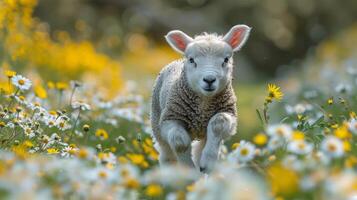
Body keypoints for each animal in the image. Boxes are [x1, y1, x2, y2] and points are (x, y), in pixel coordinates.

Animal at [150, 24, 250, 172]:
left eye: (226, 60)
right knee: (167, 154)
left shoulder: (229, 114)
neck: (203, 104)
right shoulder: (169, 119)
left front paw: (207, 163)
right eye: (192, 60)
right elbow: (179, 141)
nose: (209, 80)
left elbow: (218, 124)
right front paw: (189, 171)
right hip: (156, 122)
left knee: (199, 149)